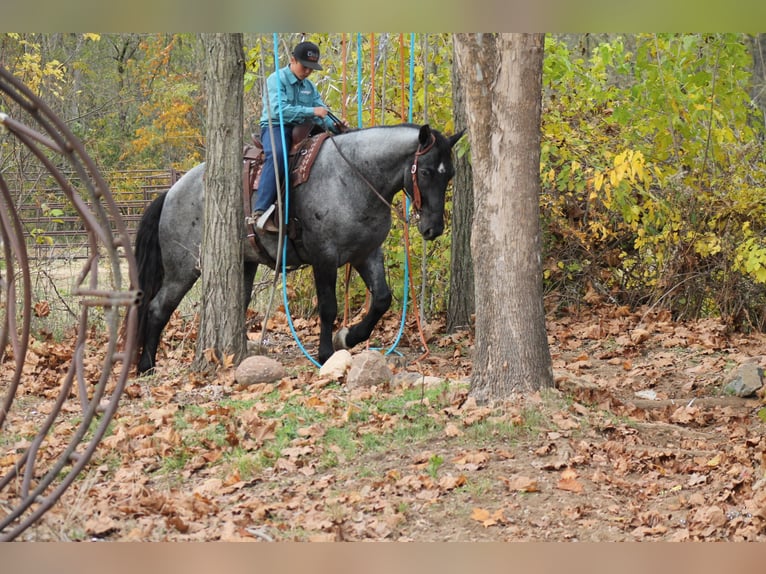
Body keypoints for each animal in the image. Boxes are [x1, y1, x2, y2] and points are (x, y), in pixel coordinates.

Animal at [135, 121, 464, 376]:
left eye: (450, 174)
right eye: (425, 172)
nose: (433, 228)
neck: (353, 176)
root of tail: (172, 191)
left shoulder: (366, 253)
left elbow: (382, 298)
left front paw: (348, 337)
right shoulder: (324, 257)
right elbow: (328, 306)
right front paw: (326, 353)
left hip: (243, 263)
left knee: (237, 303)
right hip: (183, 269)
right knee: (157, 308)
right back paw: (146, 365)